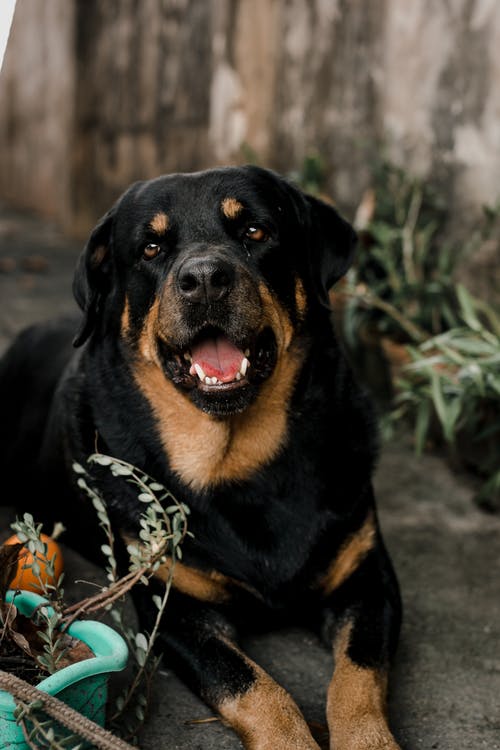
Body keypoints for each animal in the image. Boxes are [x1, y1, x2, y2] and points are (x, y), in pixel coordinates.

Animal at [0, 167, 398, 748]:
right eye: (151, 247)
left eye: (255, 230)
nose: (205, 278)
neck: (239, 462)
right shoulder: (177, 609)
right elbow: (257, 690)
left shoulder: (367, 581)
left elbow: (358, 683)